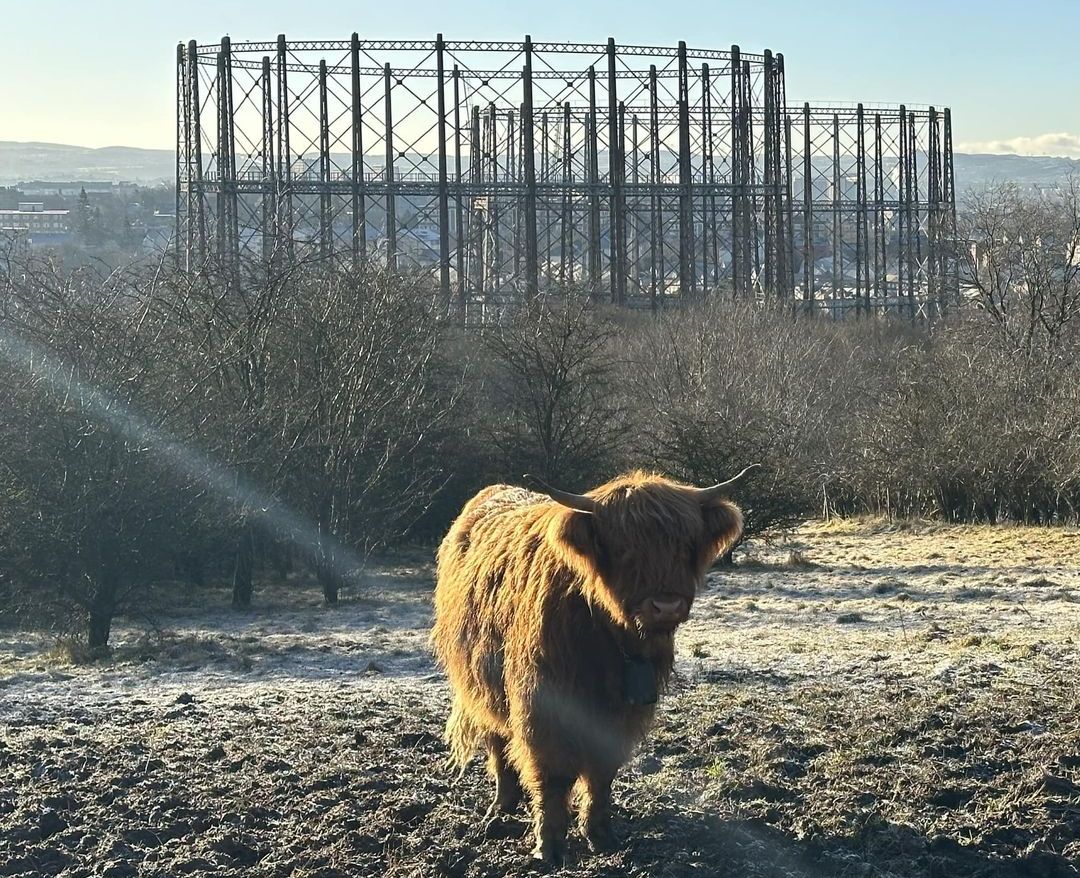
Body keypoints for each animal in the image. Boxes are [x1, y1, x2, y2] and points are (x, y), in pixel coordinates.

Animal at [429, 468, 751, 859]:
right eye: (624, 547)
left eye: (685, 545)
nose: (666, 606)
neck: (608, 640)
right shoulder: (545, 706)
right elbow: (553, 775)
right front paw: (548, 845)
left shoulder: (621, 711)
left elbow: (601, 773)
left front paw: (599, 834)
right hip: (480, 683)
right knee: (497, 742)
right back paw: (502, 805)